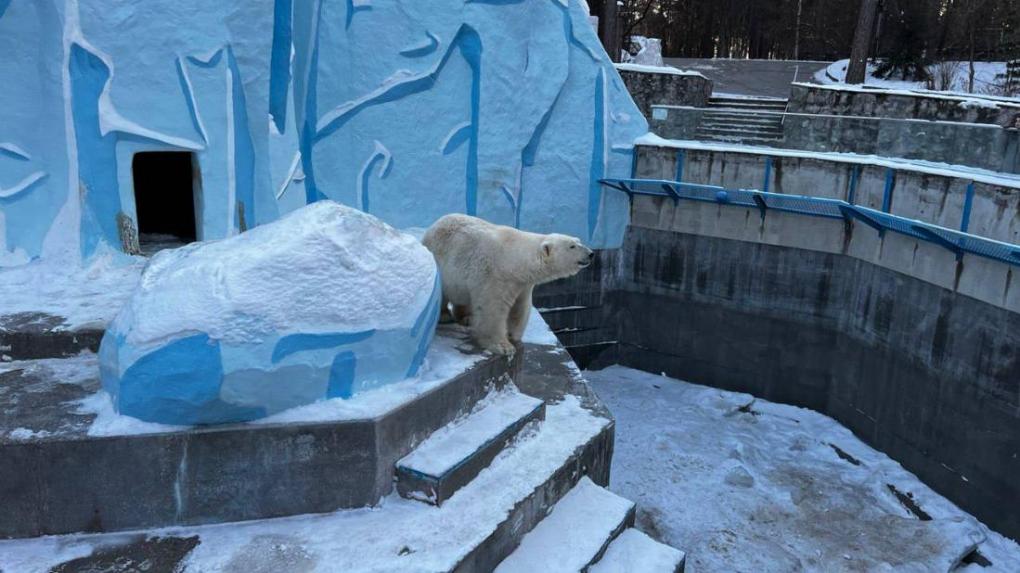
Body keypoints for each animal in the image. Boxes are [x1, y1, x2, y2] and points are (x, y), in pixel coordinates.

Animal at [422, 213, 595, 352]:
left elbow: (521, 307)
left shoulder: (523, 283)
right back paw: (445, 315)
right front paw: (503, 346)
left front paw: (514, 336)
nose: (591, 254)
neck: (513, 261)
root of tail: (434, 225)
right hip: (442, 264)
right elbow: (492, 309)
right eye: (572, 246)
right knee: (444, 293)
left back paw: (467, 318)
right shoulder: (495, 276)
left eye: (579, 241)